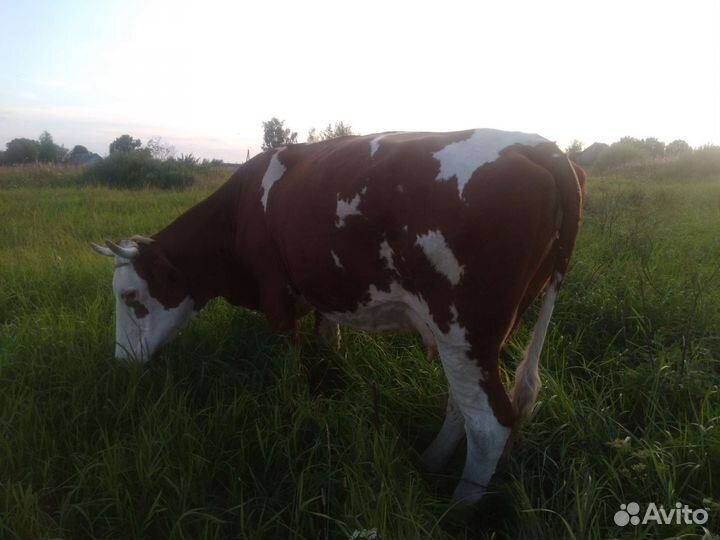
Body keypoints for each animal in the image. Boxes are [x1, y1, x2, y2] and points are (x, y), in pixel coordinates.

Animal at [91, 129, 585, 504]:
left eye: (131, 296)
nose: (120, 361)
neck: (242, 208)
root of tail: (539, 146)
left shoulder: (276, 295)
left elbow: (288, 370)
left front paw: (292, 414)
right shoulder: (321, 295)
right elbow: (328, 345)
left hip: (466, 329)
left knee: (489, 423)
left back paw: (459, 505)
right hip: (469, 339)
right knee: (461, 406)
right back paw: (429, 461)